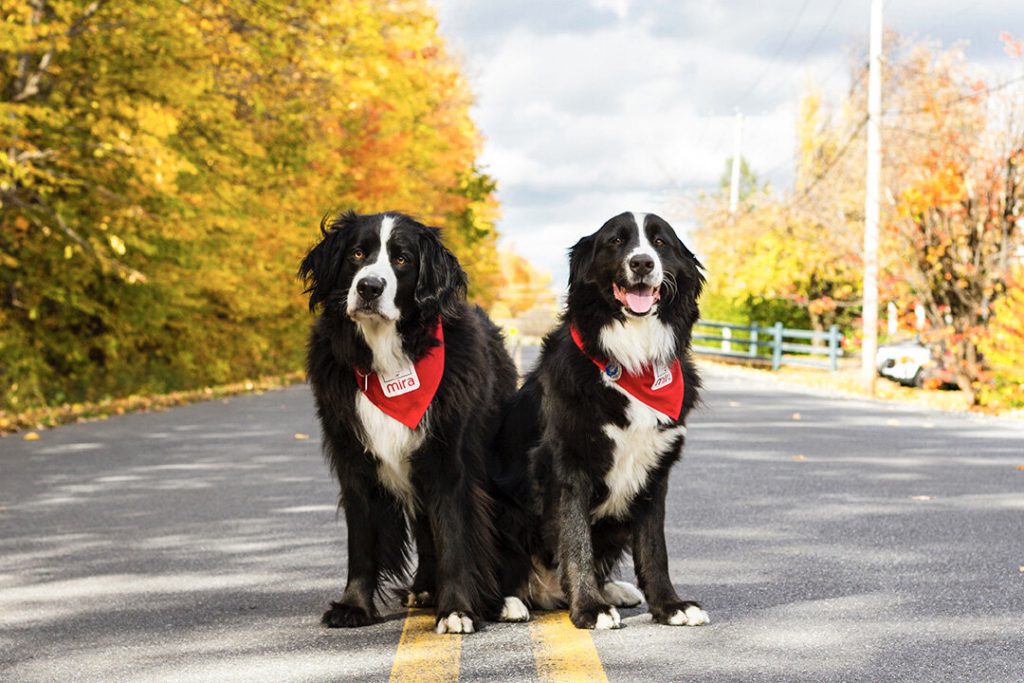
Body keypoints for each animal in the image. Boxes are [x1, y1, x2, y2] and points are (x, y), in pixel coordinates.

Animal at [299, 209, 528, 634]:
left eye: (402, 259)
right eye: (358, 253)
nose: (369, 287)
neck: (387, 359)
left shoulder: (449, 459)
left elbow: (455, 535)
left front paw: (457, 609)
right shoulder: (354, 458)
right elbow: (362, 539)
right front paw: (354, 605)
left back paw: (503, 600)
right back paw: (424, 587)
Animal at [495, 211, 712, 630]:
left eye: (660, 242)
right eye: (616, 241)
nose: (642, 263)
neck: (632, 361)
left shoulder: (654, 473)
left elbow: (654, 548)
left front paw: (669, 605)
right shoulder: (567, 468)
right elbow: (576, 540)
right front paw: (589, 609)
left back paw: (611, 589)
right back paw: (506, 601)